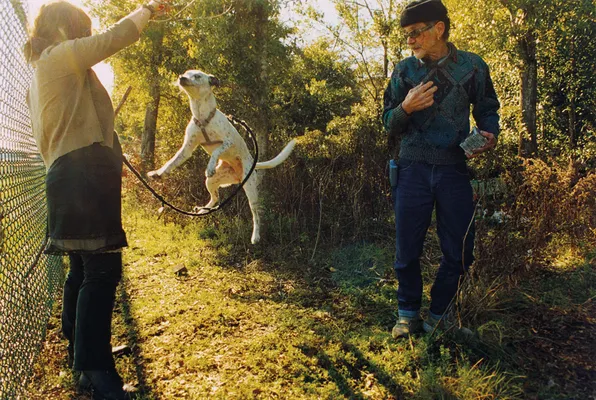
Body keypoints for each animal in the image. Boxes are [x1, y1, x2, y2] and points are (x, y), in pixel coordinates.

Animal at [148, 70, 296, 244]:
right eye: (185, 73)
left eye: (197, 76)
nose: (181, 78)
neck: (202, 116)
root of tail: (252, 162)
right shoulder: (187, 149)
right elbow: (171, 162)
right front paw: (158, 173)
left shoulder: (227, 142)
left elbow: (217, 150)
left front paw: (210, 165)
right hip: (211, 181)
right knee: (215, 199)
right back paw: (202, 210)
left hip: (250, 189)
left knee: (256, 214)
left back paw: (256, 236)